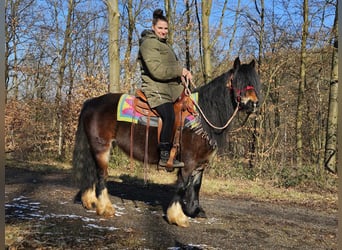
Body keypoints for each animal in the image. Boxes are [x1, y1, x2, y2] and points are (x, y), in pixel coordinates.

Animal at [71, 57, 260, 228]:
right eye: (238, 81)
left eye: (254, 82)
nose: (253, 104)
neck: (201, 118)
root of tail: (92, 102)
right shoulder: (188, 162)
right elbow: (182, 186)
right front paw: (177, 217)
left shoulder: (200, 163)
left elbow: (196, 186)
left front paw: (194, 210)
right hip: (102, 147)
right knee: (102, 175)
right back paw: (106, 208)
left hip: (94, 148)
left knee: (92, 172)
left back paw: (90, 201)